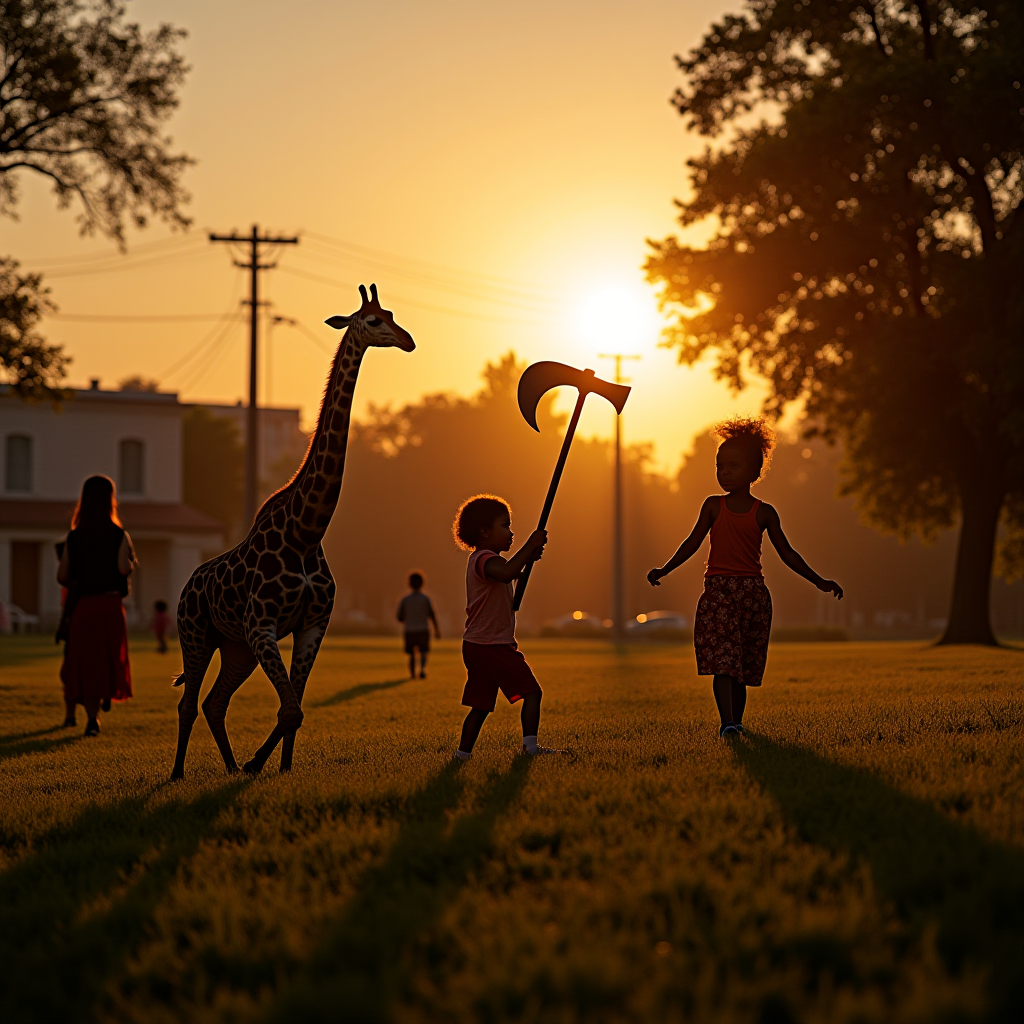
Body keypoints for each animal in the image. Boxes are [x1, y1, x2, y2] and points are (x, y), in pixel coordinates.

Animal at [169, 284, 413, 778]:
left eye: (393, 314)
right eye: (373, 321)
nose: (409, 340)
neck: (306, 531)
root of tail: (188, 585)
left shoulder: (311, 625)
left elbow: (294, 710)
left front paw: (274, 768)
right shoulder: (262, 625)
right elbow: (291, 708)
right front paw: (257, 764)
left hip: (235, 647)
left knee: (214, 703)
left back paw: (229, 766)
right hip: (197, 635)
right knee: (189, 703)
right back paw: (179, 772)